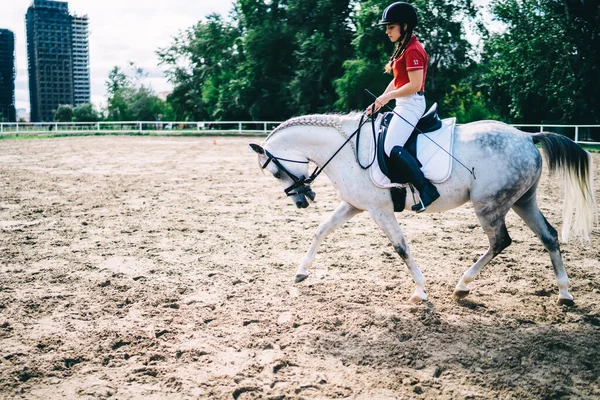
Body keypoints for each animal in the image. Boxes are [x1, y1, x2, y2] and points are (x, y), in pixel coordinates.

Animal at [247, 113, 596, 306]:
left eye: (274, 172)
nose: (301, 200)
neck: (345, 149)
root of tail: (526, 136)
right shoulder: (354, 206)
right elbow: (321, 231)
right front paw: (301, 272)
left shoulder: (379, 210)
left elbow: (401, 247)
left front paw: (419, 291)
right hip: (523, 201)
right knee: (548, 236)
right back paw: (565, 293)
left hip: (490, 205)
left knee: (500, 242)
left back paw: (463, 285)